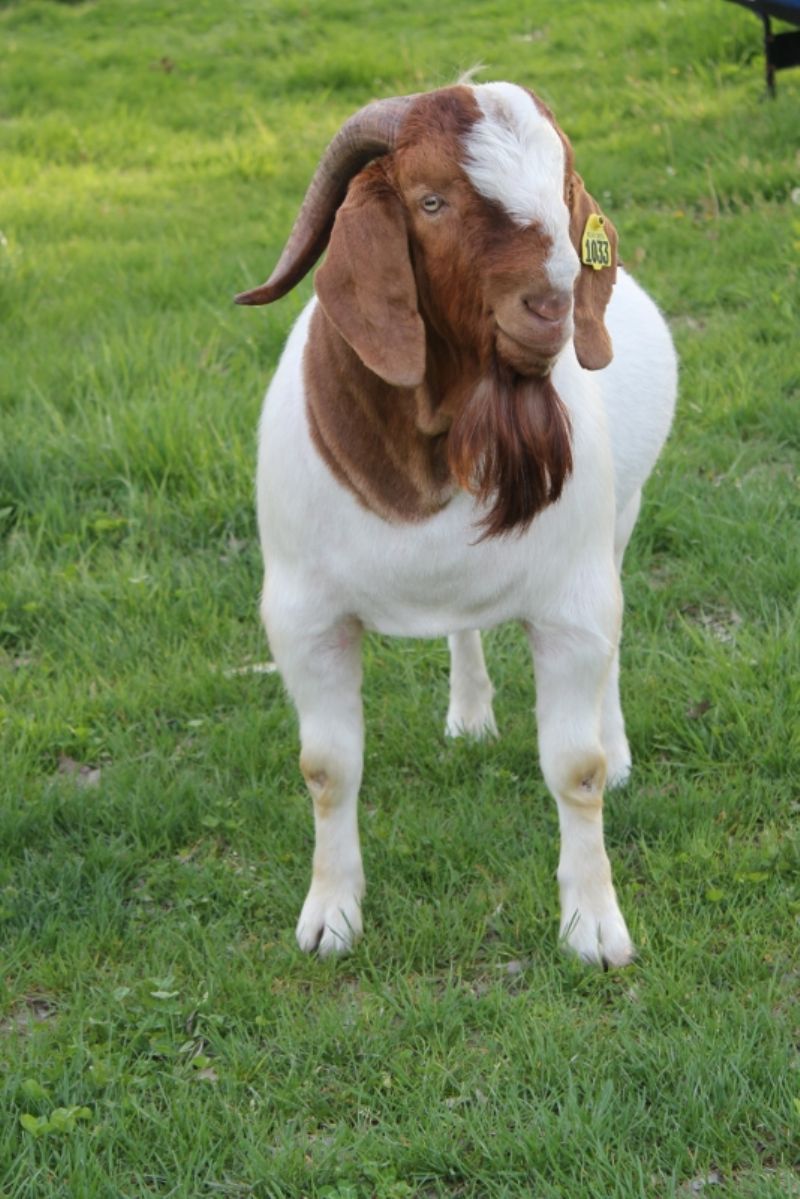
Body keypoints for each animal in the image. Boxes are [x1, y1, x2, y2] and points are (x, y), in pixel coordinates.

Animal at [236, 82, 676, 963]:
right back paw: (470, 713)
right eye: (431, 200)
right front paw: (330, 915)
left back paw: (617, 750)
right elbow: (327, 767)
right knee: (463, 628)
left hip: (621, 524)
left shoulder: (573, 605)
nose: (553, 304)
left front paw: (594, 926)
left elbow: (573, 767)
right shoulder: (304, 617)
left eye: (562, 188)